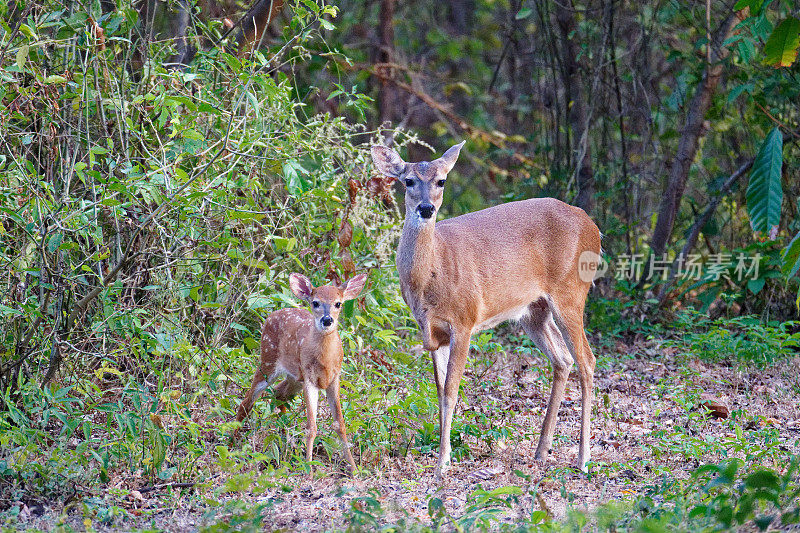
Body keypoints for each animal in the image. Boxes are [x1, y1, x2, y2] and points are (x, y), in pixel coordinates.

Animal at [234, 272, 366, 472]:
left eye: (338, 303)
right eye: (315, 302)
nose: (327, 320)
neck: (325, 361)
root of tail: (271, 315)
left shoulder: (334, 378)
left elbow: (340, 425)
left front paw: (354, 468)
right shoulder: (310, 379)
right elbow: (312, 427)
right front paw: (309, 469)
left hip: (294, 378)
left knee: (278, 394)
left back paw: (284, 436)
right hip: (268, 360)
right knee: (247, 401)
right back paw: (232, 442)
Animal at [372, 141, 604, 478]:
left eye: (441, 181)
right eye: (409, 181)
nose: (426, 209)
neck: (430, 276)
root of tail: (594, 227)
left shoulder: (465, 320)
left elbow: (452, 391)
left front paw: (443, 462)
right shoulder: (431, 333)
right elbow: (439, 389)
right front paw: (441, 454)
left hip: (571, 293)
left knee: (587, 359)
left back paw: (583, 458)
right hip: (535, 310)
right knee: (562, 359)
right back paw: (541, 451)